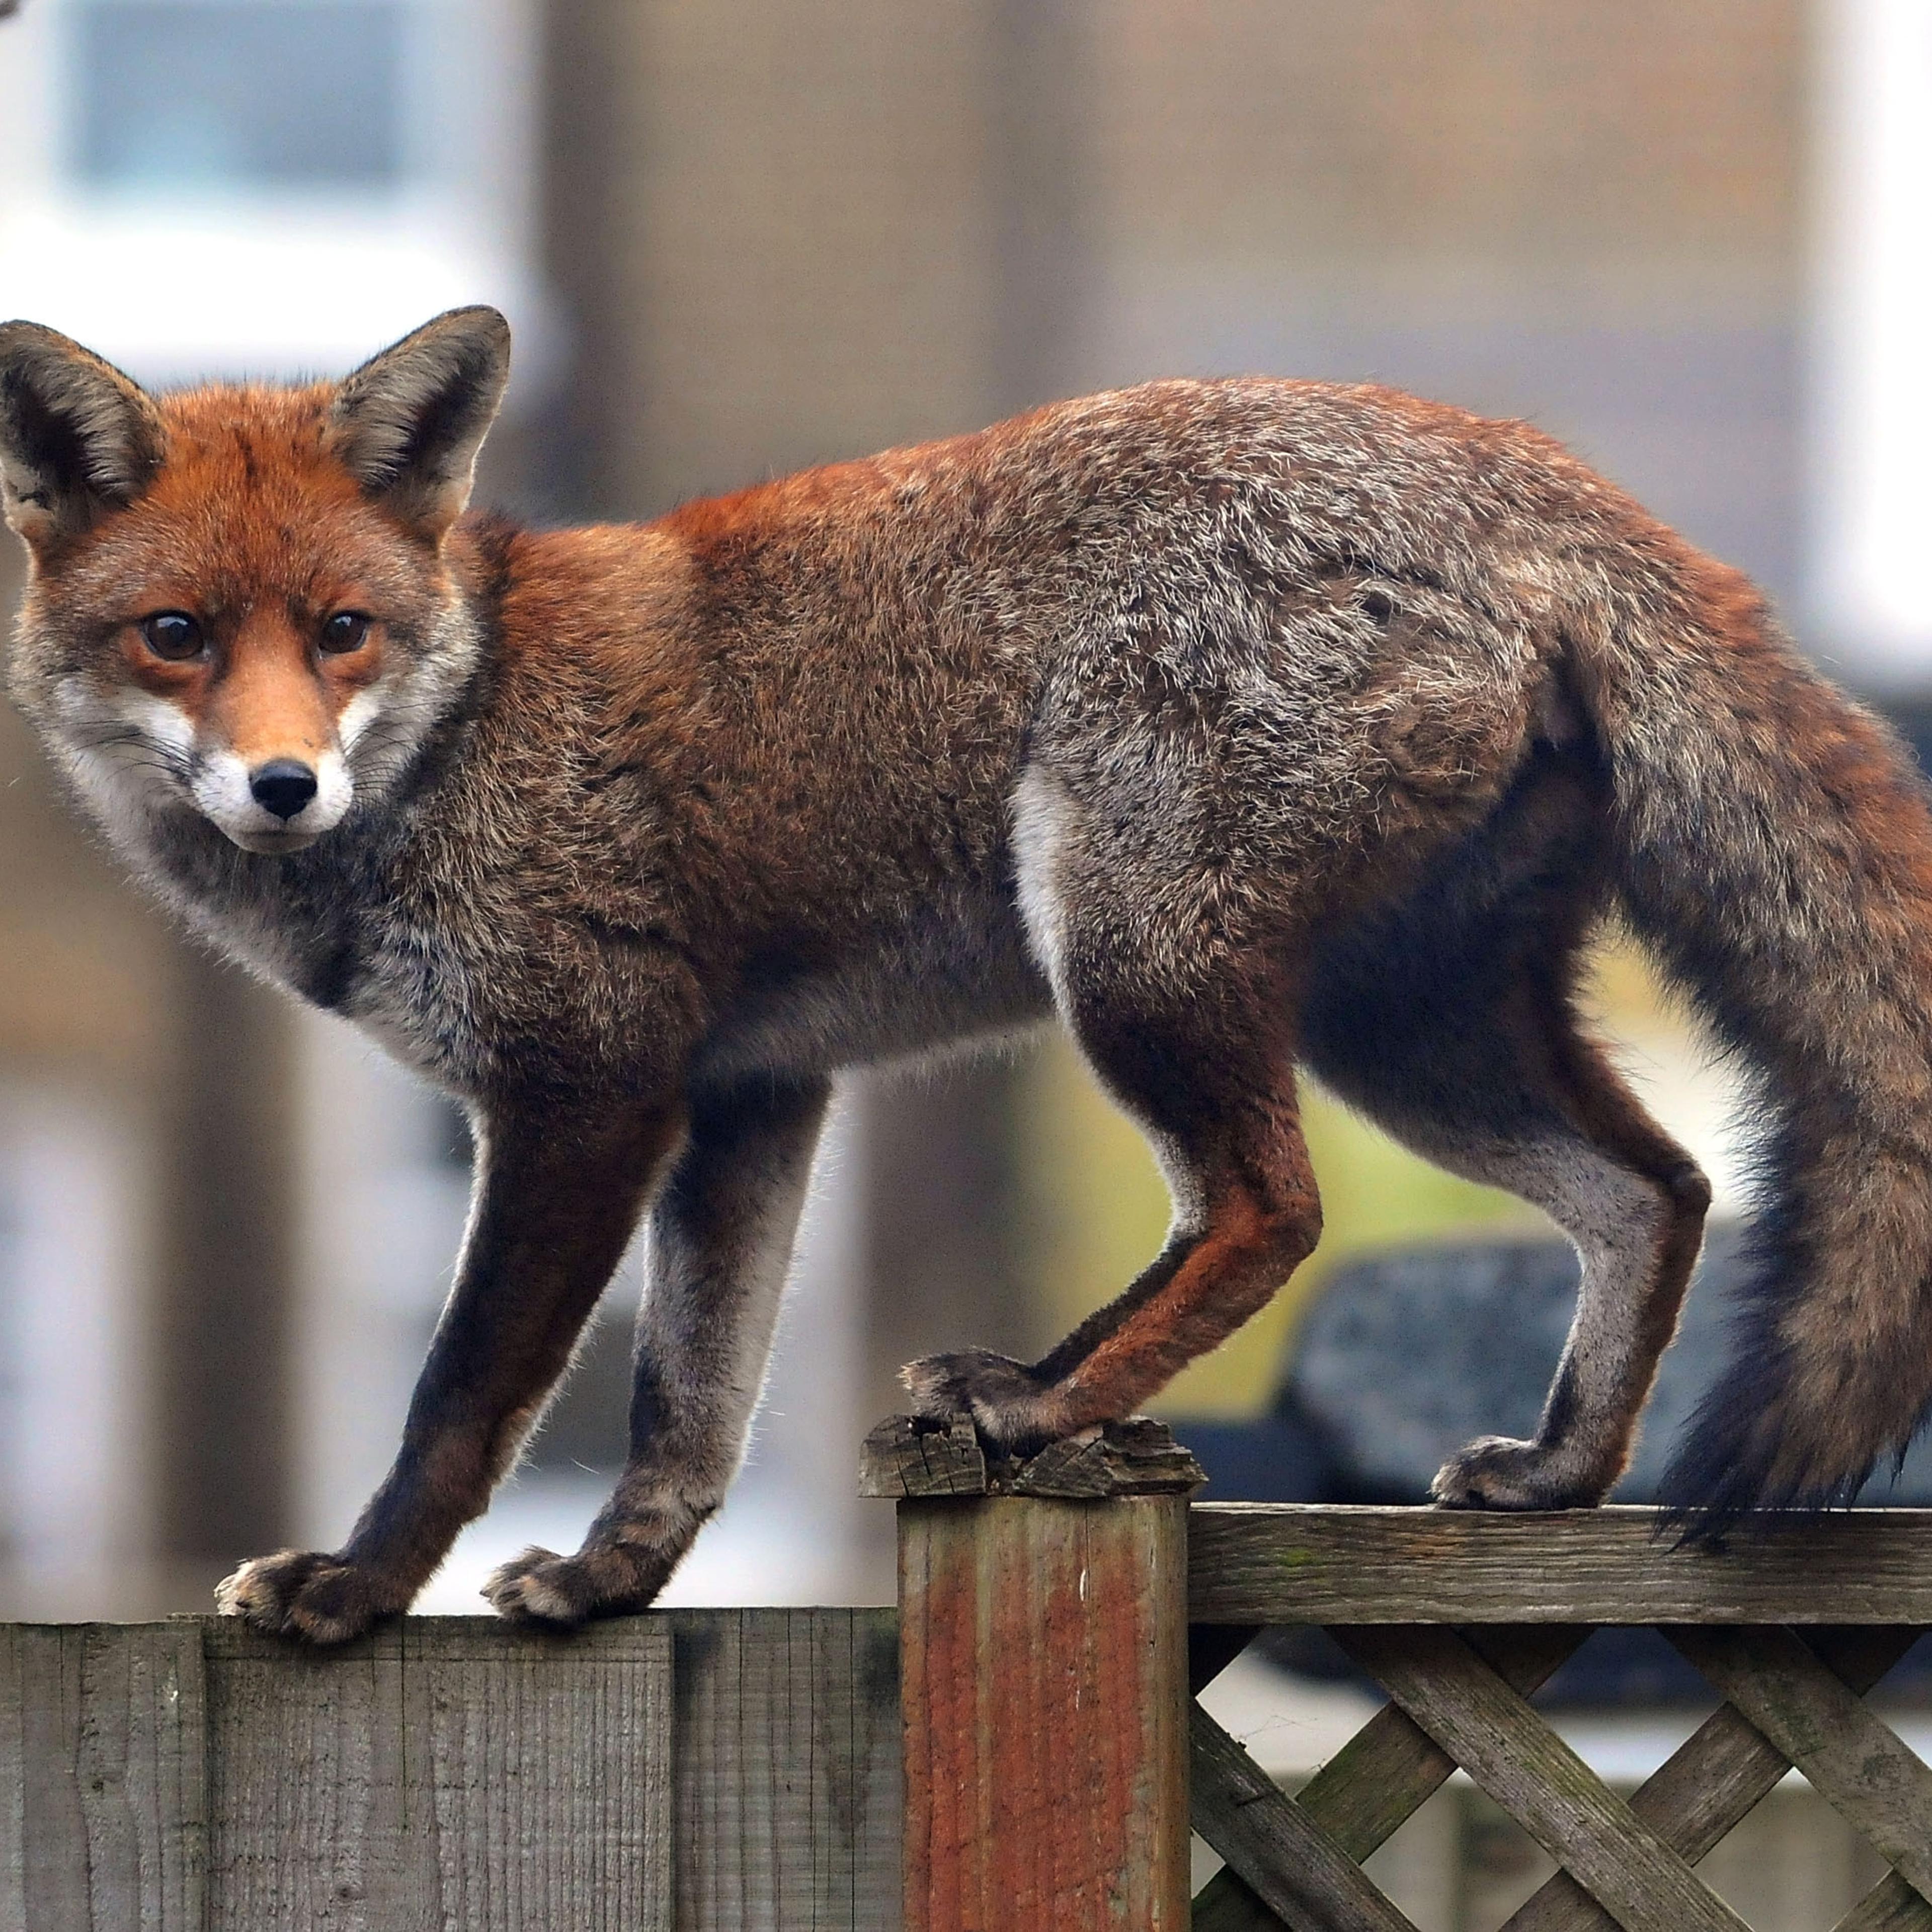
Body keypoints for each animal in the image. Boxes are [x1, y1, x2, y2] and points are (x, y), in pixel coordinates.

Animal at [3, 305, 1930, 1642]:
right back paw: (1557, 1473)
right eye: (177, 637)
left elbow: (463, 1392)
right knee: (1653, 1189)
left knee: (1270, 1209)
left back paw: (1047, 1397)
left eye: (342, 634)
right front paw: (617, 1585)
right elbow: (689, 1406)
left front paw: (354, 1590)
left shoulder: (587, 1083)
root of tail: (1514, 458)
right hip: (1400, 1026)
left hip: (1139, 954)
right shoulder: (747, 1095)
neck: (468, 732)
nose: (282, 785)